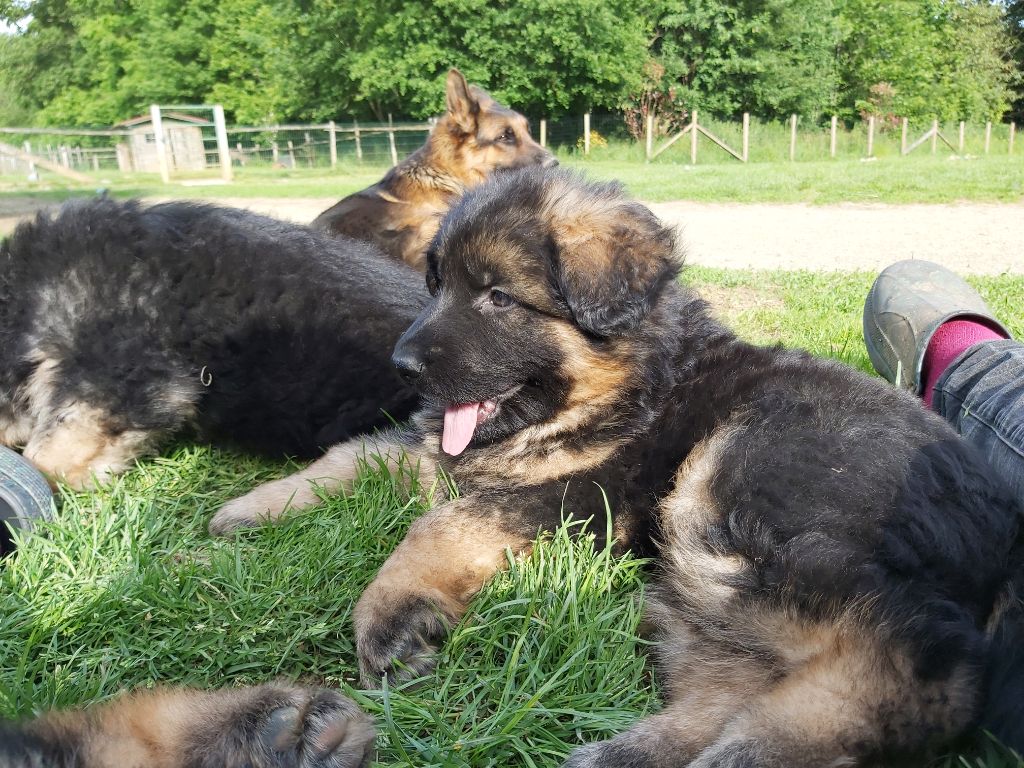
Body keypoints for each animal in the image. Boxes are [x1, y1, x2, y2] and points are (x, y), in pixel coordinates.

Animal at [216, 169, 1024, 768]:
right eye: (434, 285)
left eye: (497, 296)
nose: (403, 364)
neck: (631, 380)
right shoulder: (453, 456)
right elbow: (361, 453)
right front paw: (255, 506)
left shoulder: (584, 492)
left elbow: (444, 522)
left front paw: (389, 614)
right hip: (708, 569)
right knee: (734, 665)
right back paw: (634, 750)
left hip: (739, 484)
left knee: (923, 663)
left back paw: (756, 748)